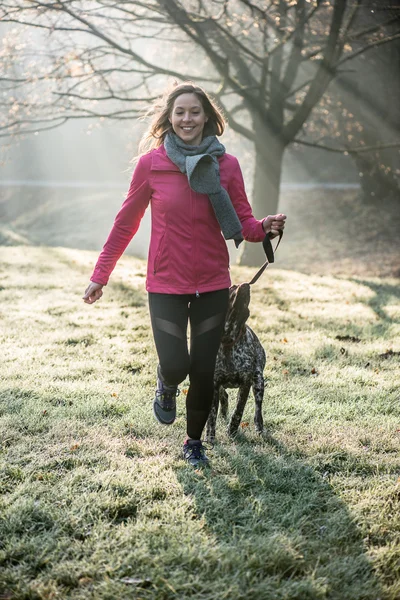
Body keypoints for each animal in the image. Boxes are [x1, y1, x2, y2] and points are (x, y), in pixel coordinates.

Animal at [206, 282, 266, 440]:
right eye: (232, 287)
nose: (246, 285)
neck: (228, 340)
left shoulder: (246, 383)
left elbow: (238, 410)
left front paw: (232, 430)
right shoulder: (214, 383)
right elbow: (211, 415)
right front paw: (209, 436)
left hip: (258, 381)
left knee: (258, 410)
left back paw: (259, 427)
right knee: (224, 396)